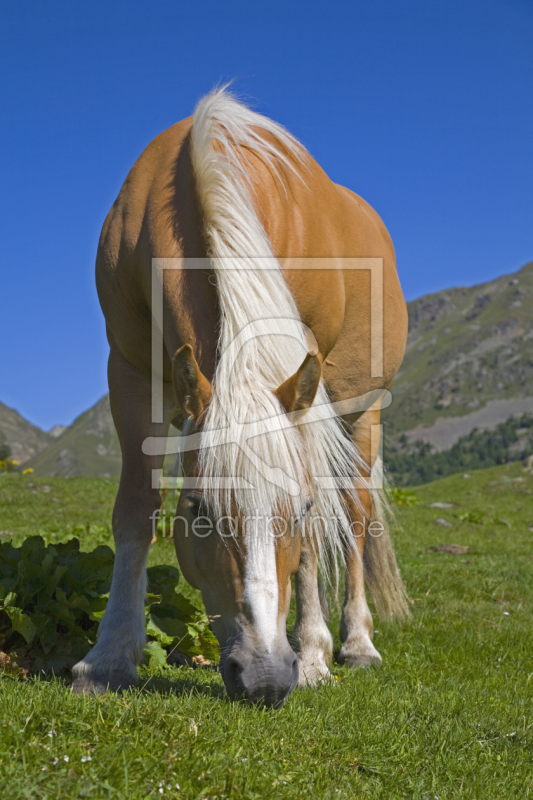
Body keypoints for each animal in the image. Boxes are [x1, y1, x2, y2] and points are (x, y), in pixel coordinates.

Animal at [71, 87, 408, 708]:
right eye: (198, 510)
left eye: (298, 509)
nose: (266, 677)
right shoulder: (130, 374)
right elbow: (135, 509)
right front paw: (106, 659)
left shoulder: (304, 381)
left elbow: (317, 528)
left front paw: (315, 654)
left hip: (362, 412)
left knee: (355, 515)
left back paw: (356, 642)